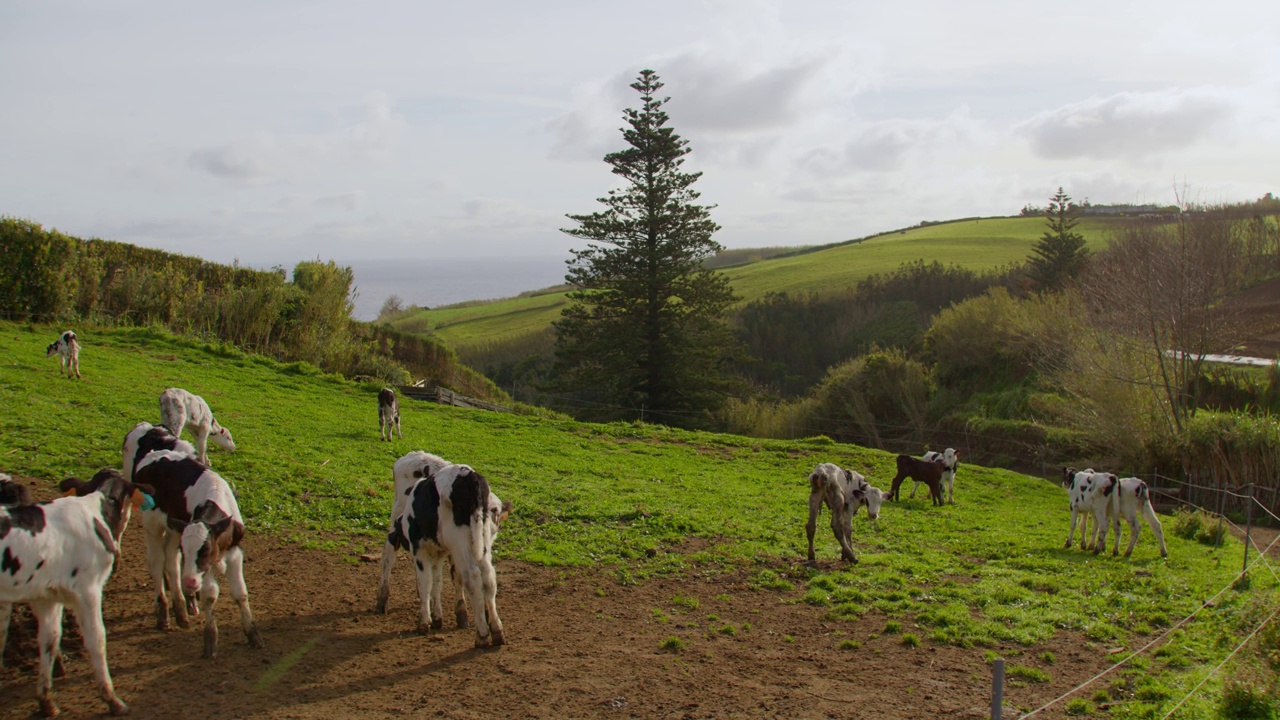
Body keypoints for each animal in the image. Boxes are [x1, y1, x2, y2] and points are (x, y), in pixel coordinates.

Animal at [384, 453, 509, 645]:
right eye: (494, 511)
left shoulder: (421, 549)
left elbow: (427, 581)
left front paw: (425, 622)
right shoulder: (440, 552)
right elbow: (438, 581)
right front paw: (440, 617)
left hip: (460, 542)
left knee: (472, 577)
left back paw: (481, 634)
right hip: (476, 545)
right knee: (488, 578)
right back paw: (496, 631)